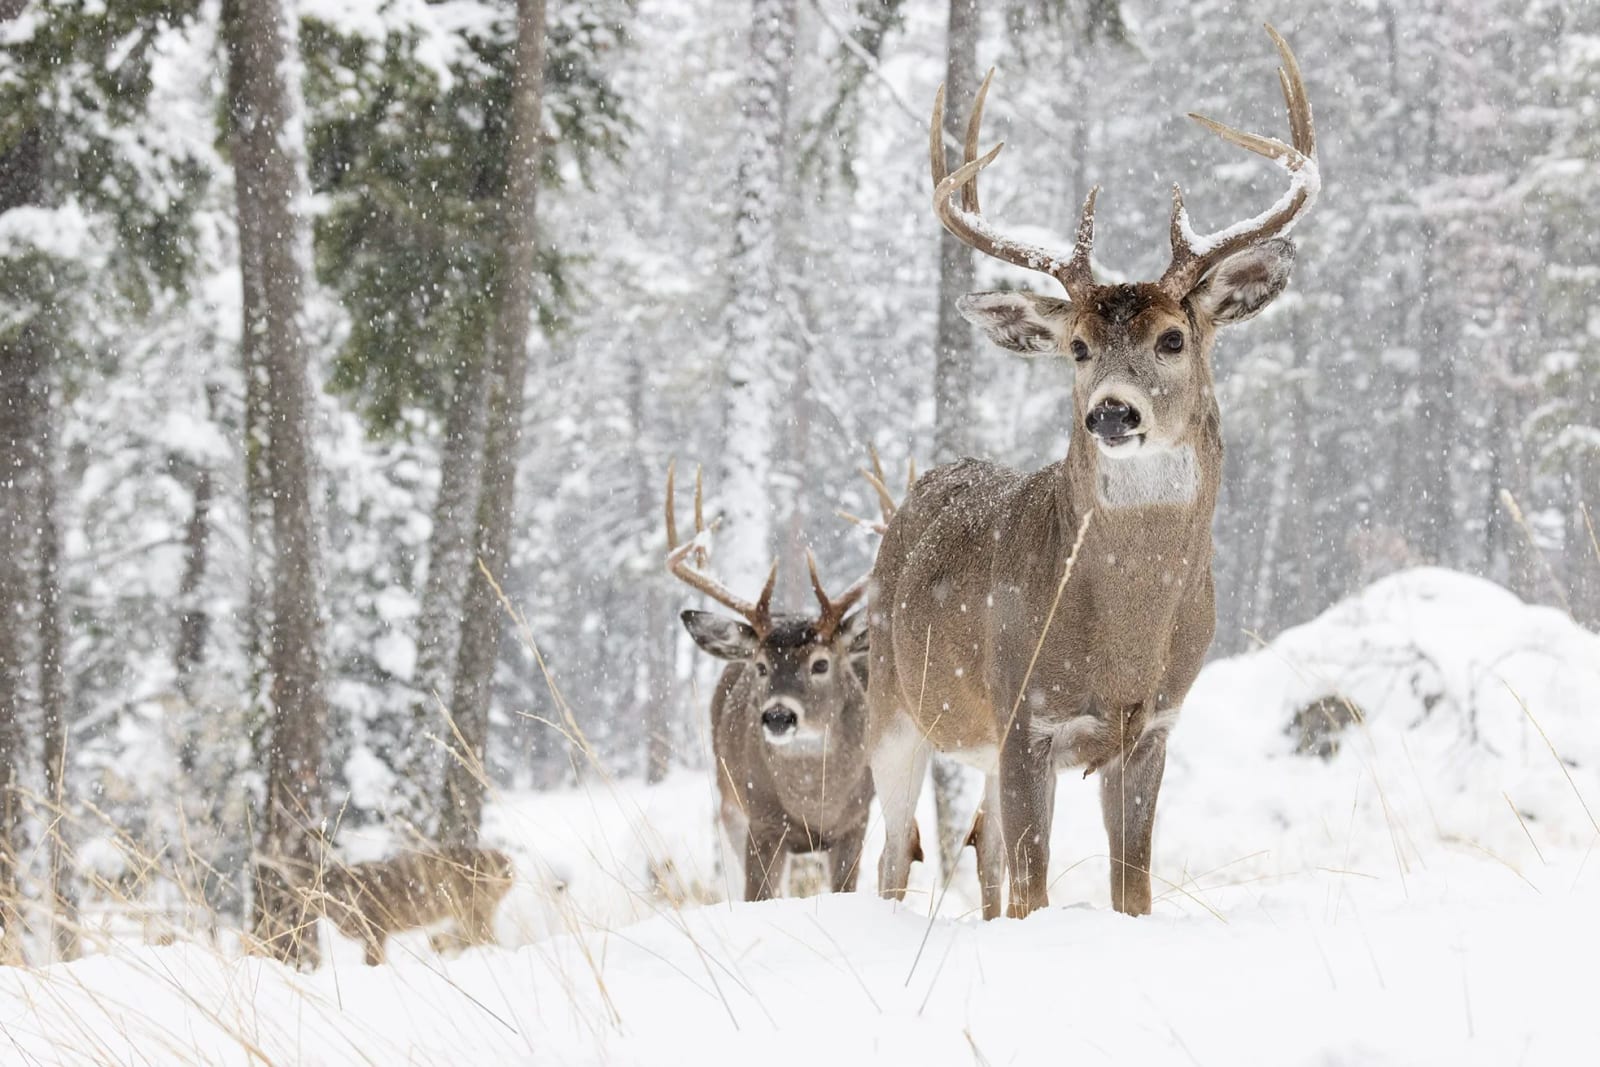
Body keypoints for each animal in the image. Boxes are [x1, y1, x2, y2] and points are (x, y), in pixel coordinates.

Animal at [316, 845, 515, 965]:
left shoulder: (377, 928)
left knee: (484, 938)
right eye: (327, 894)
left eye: (343, 889)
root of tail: (506, 861)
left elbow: (373, 959)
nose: (341, 900)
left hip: (473, 910)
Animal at [666, 463, 885, 901]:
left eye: (821, 664)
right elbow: (758, 895)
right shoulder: (763, 820)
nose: (779, 715)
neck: (813, 802)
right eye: (762, 667)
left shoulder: (856, 820)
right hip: (728, 803)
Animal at [868, 25, 1319, 921]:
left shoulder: (1153, 725)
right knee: (894, 855)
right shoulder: (1022, 715)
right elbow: (1038, 889)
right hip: (891, 705)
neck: (1120, 643)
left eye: (1173, 338)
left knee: (981, 851)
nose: (1112, 413)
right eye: (1076, 347)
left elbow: (1131, 887)